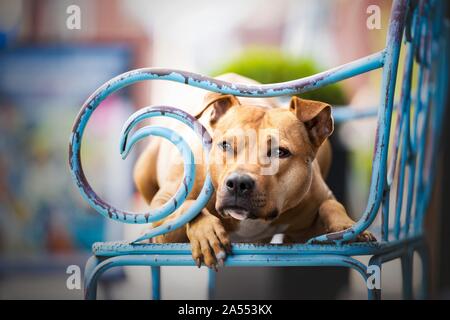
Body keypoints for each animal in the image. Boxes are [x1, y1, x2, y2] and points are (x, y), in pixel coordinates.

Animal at [134, 74, 376, 268]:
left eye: (280, 152)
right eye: (225, 145)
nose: (238, 183)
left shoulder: (310, 224)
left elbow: (331, 205)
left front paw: (348, 226)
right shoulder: (162, 218)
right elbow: (188, 206)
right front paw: (207, 235)